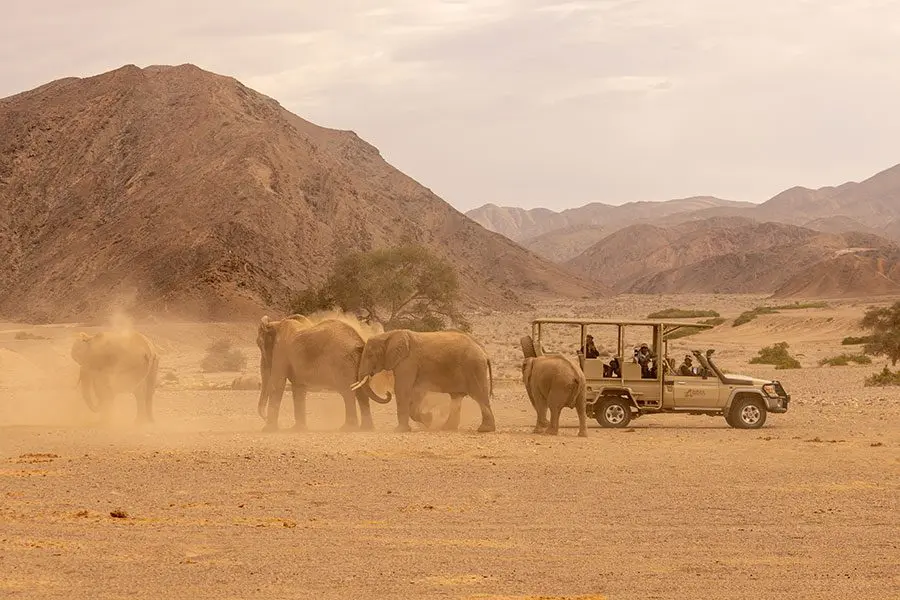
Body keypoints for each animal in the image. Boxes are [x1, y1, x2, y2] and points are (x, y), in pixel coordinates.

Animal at [256, 315, 392, 432]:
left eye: (259, 344)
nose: (264, 417)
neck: (276, 324)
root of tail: (360, 341)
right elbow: (299, 388)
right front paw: (297, 429)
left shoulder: (281, 351)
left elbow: (277, 384)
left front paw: (267, 430)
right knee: (360, 392)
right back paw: (366, 429)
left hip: (342, 363)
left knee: (347, 392)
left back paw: (347, 429)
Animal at [352, 329, 496, 433]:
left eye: (370, 355)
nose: (386, 393)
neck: (390, 334)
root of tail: (484, 353)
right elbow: (416, 393)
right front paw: (428, 420)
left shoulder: (408, 362)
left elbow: (402, 389)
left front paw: (400, 430)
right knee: (457, 398)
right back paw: (447, 428)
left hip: (474, 367)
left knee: (480, 396)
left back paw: (485, 430)